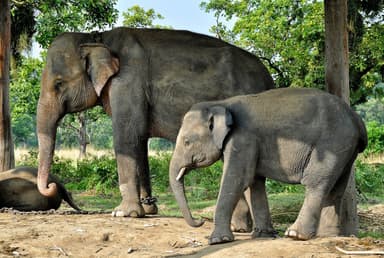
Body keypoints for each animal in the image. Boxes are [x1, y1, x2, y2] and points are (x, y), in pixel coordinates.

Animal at [36, 27, 272, 220]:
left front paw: (123, 213)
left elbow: (126, 136)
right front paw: (147, 210)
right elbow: (139, 140)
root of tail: (269, 78)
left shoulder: (126, 82)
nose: (51, 185)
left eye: (58, 84)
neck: (95, 38)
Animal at [170, 87, 368, 245]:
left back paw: (295, 234)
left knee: (316, 183)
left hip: (332, 143)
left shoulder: (242, 138)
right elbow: (254, 181)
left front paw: (218, 241)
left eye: (187, 142)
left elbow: (237, 180)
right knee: (336, 188)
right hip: (346, 149)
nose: (200, 220)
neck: (221, 103)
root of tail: (357, 120)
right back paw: (327, 235)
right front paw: (263, 235)